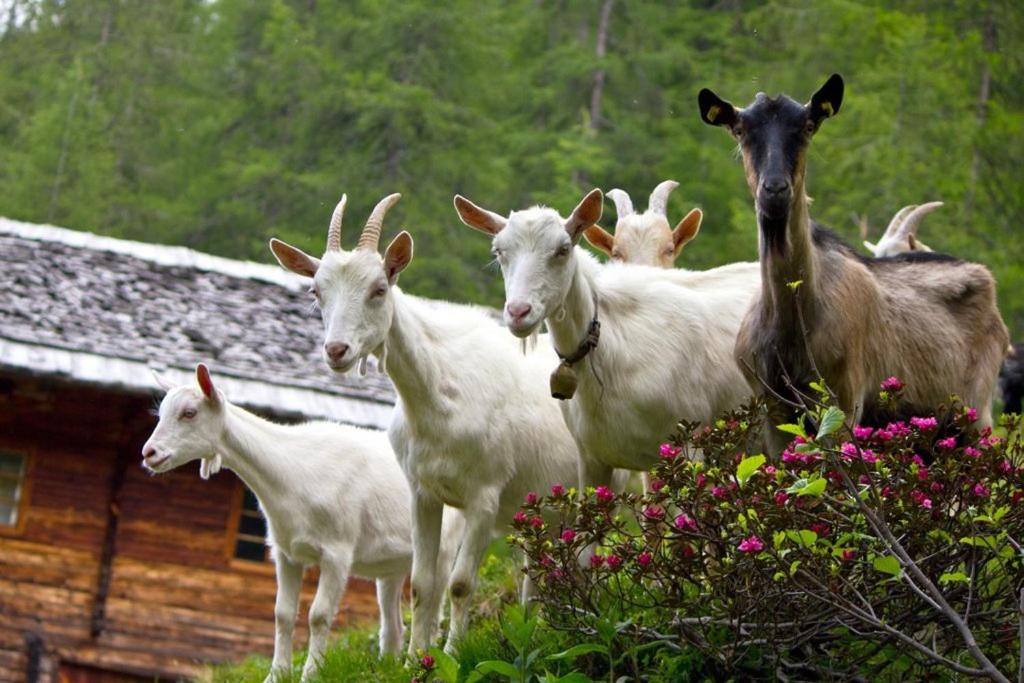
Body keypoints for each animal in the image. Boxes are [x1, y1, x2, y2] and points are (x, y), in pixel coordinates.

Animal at [140, 362, 456, 679]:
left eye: (189, 413)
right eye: (161, 413)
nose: (148, 453)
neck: (294, 473)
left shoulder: (337, 553)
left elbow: (318, 615)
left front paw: (310, 674)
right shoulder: (286, 552)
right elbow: (283, 614)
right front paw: (276, 675)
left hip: (445, 548)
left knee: (434, 607)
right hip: (391, 566)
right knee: (393, 624)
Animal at [268, 192, 581, 655]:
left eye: (379, 288)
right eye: (316, 290)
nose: (337, 351)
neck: (442, 393)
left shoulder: (484, 495)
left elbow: (461, 584)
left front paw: (451, 655)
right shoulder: (424, 493)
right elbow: (421, 584)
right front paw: (416, 658)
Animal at [454, 188, 761, 491]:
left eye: (563, 249)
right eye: (498, 251)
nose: (518, 312)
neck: (613, 350)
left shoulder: (689, 447)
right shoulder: (593, 458)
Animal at [696, 74, 1007, 454]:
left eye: (808, 126)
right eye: (740, 130)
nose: (775, 189)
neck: (793, 318)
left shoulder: (843, 397)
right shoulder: (773, 405)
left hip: (977, 413)